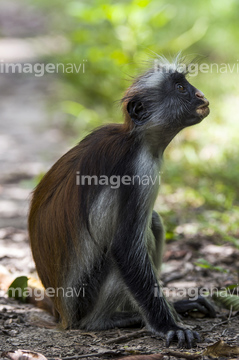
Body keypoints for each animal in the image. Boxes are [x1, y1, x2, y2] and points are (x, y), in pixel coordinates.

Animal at [28, 56, 213, 348]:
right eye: (181, 88)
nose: (200, 95)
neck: (136, 139)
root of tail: (62, 314)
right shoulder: (138, 170)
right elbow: (125, 248)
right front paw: (169, 326)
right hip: (86, 301)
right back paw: (109, 320)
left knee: (153, 221)